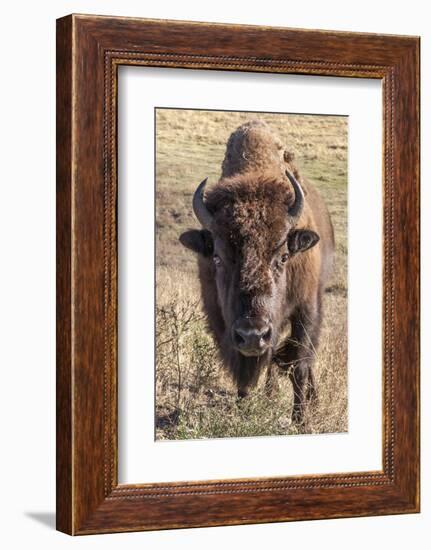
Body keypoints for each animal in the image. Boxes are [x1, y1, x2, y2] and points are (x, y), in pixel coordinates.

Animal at [181, 119, 336, 422]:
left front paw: (300, 420)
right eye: (217, 258)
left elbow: (300, 364)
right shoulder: (221, 318)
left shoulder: (307, 309)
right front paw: (243, 407)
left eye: (284, 257)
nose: (253, 334)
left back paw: (312, 400)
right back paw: (269, 394)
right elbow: (244, 368)